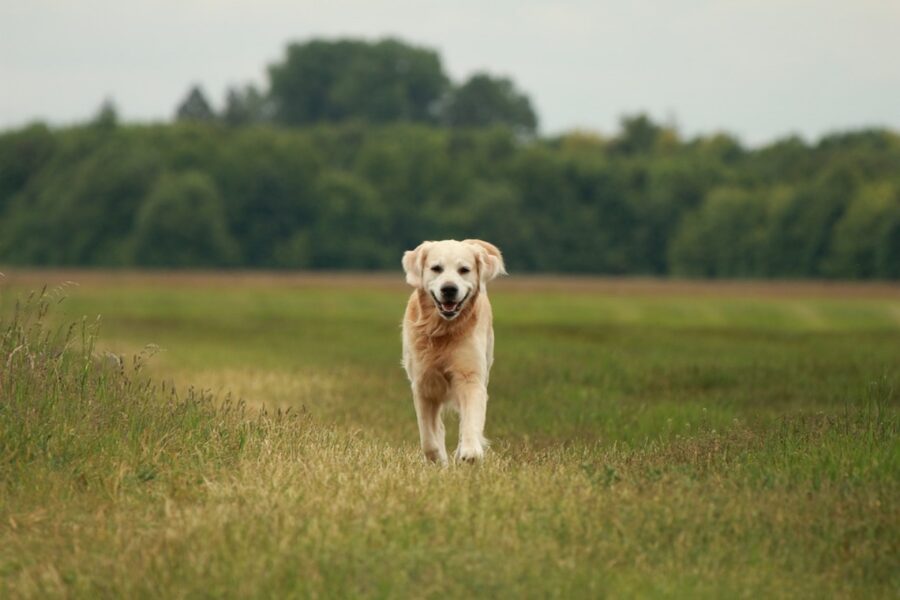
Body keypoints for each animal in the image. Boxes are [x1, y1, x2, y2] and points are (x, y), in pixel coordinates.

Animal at [400, 239, 506, 464]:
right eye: (436, 268)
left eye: (464, 270)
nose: (449, 289)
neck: (442, 329)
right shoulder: (423, 383)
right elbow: (428, 437)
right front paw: (437, 460)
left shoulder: (470, 377)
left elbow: (471, 420)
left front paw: (470, 451)